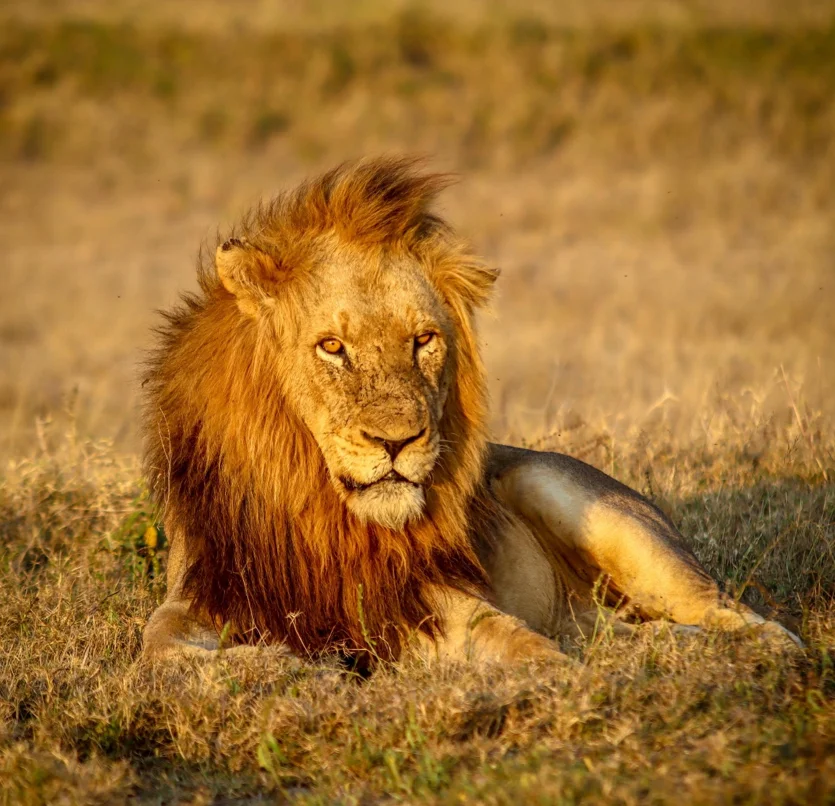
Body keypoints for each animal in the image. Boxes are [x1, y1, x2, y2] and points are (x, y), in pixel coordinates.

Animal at [142, 156, 799, 667]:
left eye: (423, 340)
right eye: (332, 346)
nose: (397, 442)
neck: (322, 512)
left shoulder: (432, 594)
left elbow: (513, 639)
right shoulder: (203, 588)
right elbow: (159, 641)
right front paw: (284, 665)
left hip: (579, 501)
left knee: (739, 613)